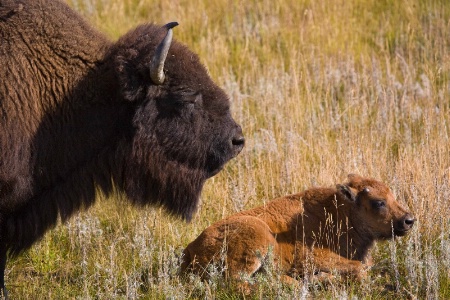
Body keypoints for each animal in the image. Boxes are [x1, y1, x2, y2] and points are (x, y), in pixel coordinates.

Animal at [181, 175, 414, 290]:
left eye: (393, 196)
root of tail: (190, 248)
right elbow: (358, 268)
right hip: (259, 238)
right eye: (378, 202)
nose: (408, 220)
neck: (342, 212)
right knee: (240, 282)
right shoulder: (309, 255)